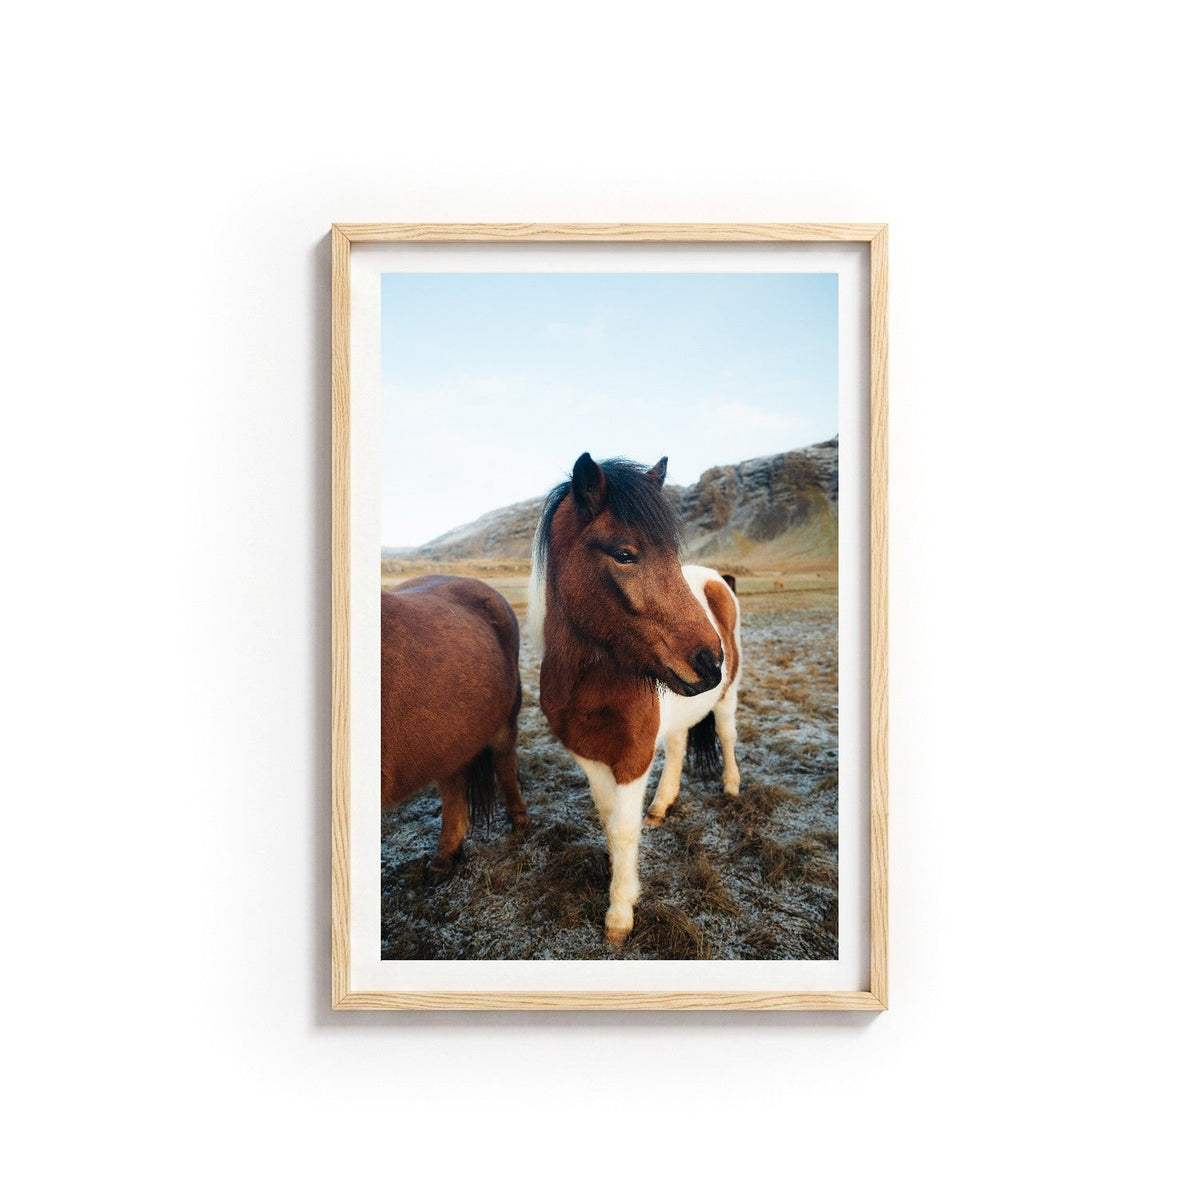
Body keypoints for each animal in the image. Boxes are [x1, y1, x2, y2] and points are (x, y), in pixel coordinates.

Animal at [381, 575, 529, 876]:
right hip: (449, 739)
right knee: (454, 786)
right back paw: (445, 857)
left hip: (504, 722)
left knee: (504, 762)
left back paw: (520, 821)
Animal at [529, 453, 742, 947]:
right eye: (624, 554)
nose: (710, 662)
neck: (591, 682)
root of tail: (718, 579)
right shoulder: (588, 754)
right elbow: (609, 819)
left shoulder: (633, 756)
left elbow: (624, 829)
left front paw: (621, 910)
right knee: (680, 747)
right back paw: (662, 806)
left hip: (728, 698)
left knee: (726, 735)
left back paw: (731, 787)